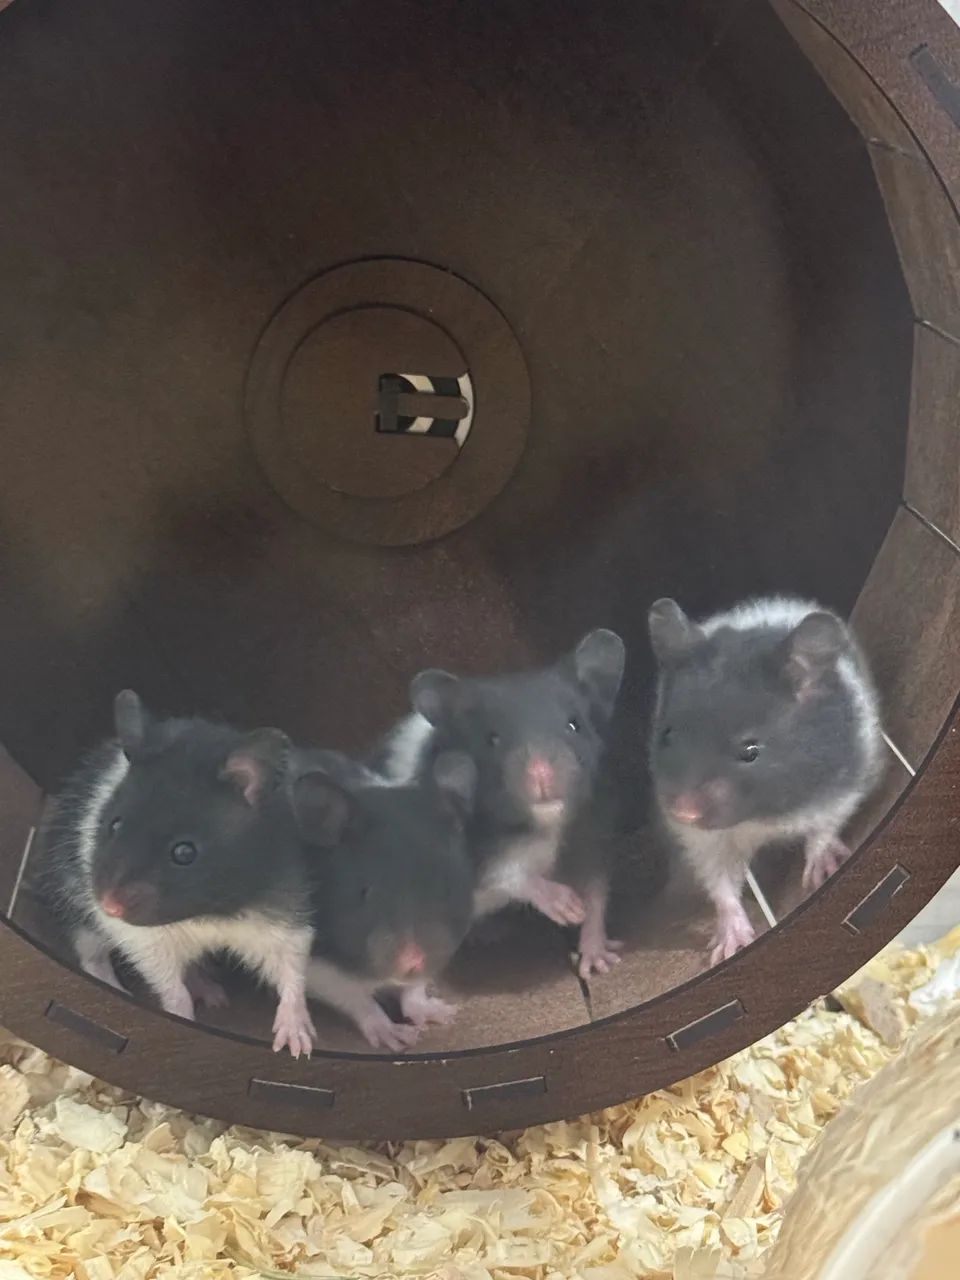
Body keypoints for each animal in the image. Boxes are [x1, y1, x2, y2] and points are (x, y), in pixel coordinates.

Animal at [32, 690, 316, 1056]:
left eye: (185, 852)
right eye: (115, 824)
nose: (109, 907)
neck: (208, 910)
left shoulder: (283, 912)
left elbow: (291, 970)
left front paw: (298, 1047)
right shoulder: (145, 941)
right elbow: (171, 987)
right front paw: (182, 1023)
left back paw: (213, 993)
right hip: (74, 906)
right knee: (92, 958)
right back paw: (123, 991)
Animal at [291, 750, 477, 1052]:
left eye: (448, 887)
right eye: (365, 891)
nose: (412, 962)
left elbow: (414, 989)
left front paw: (443, 1013)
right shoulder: (311, 954)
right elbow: (353, 994)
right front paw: (398, 1038)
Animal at [378, 630, 627, 978]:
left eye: (574, 724)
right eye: (491, 739)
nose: (541, 775)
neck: (546, 825)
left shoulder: (593, 839)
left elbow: (595, 896)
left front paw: (598, 961)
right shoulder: (472, 859)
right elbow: (511, 874)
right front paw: (566, 908)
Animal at [648, 596, 884, 964]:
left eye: (750, 751)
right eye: (667, 735)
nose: (682, 813)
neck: (762, 815)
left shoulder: (844, 786)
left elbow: (823, 830)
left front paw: (820, 875)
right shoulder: (703, 840)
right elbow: (721, 883)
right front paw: (728, 948)